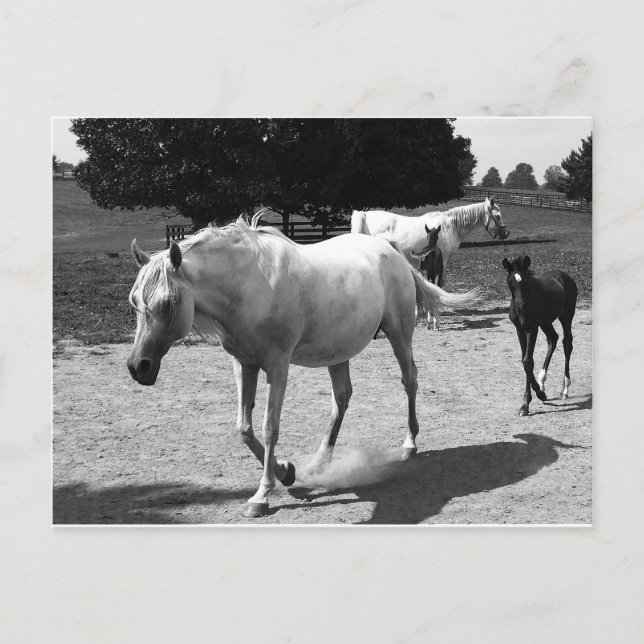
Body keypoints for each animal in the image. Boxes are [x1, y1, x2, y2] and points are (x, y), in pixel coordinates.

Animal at [126, 215, 480, 518]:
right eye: (135, 301)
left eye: (168, 303)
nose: (138, 367)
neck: (248, 285)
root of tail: (391, 252)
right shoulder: (244, 364)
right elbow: (244, 428)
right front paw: (286, 472)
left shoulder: (277, 366)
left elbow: (269, 427)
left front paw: (261, 495)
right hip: (338, 353)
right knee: (341, 399)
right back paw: (319, 463)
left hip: (399, 334)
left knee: (409, 381)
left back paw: (409, 444)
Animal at [502, 255, 578, 416]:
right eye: (510, 282)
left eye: (525, 281)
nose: (520, 307)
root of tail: (565, 276)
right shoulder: (519, 329)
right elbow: (524, 361)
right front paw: (538, 395)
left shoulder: (532, 329)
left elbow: (528, 361)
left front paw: (527, 403)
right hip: (545, 322)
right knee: (553, 339)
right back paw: (542, 381)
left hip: (566, 316)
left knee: (567, 343)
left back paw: (565, 389)